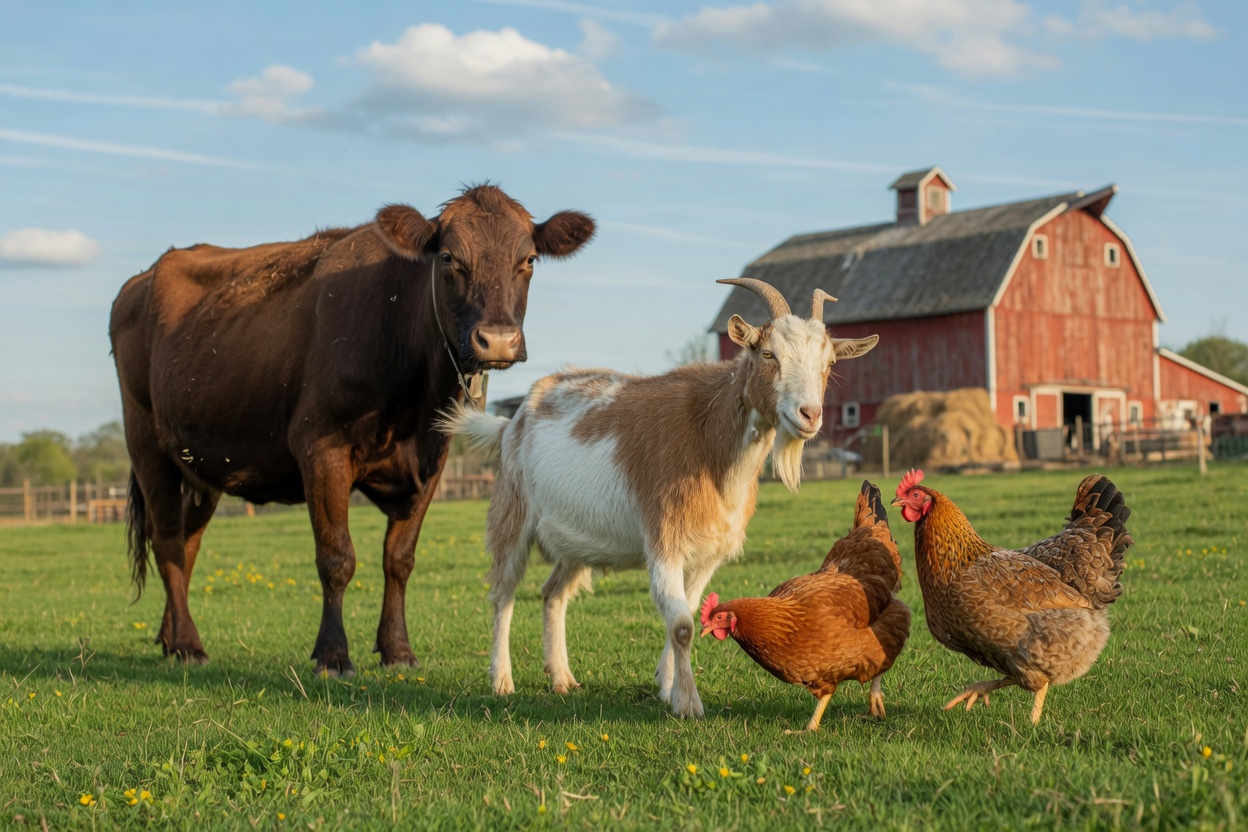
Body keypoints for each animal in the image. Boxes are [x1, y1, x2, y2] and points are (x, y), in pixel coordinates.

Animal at [109, 185, 595, 675]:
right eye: (448, 258)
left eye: (529, 259)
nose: (497, 340)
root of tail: (143, 277)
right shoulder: (321, 448)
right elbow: (337, 558)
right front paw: (332, 654)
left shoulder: (432, 462)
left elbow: (399, 559)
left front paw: (398, 649)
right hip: (146, 444)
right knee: (168, 542)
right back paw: (188, 644)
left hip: (202, 464)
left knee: (187, 544)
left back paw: (170, 639)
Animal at [441, 278, 879, 717]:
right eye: (769, 354)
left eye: (828, 364)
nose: (810, 414)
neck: (708, 436)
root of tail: (511, 421)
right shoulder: (664, 539)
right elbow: (682, 625)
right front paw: (688, 704)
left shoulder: (706, 553)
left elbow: (690, 615)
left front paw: (667, 688)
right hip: (512, 514)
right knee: (503, 594)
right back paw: (502, 680)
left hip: (575, 541)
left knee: (553, 594)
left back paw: (562, 678)